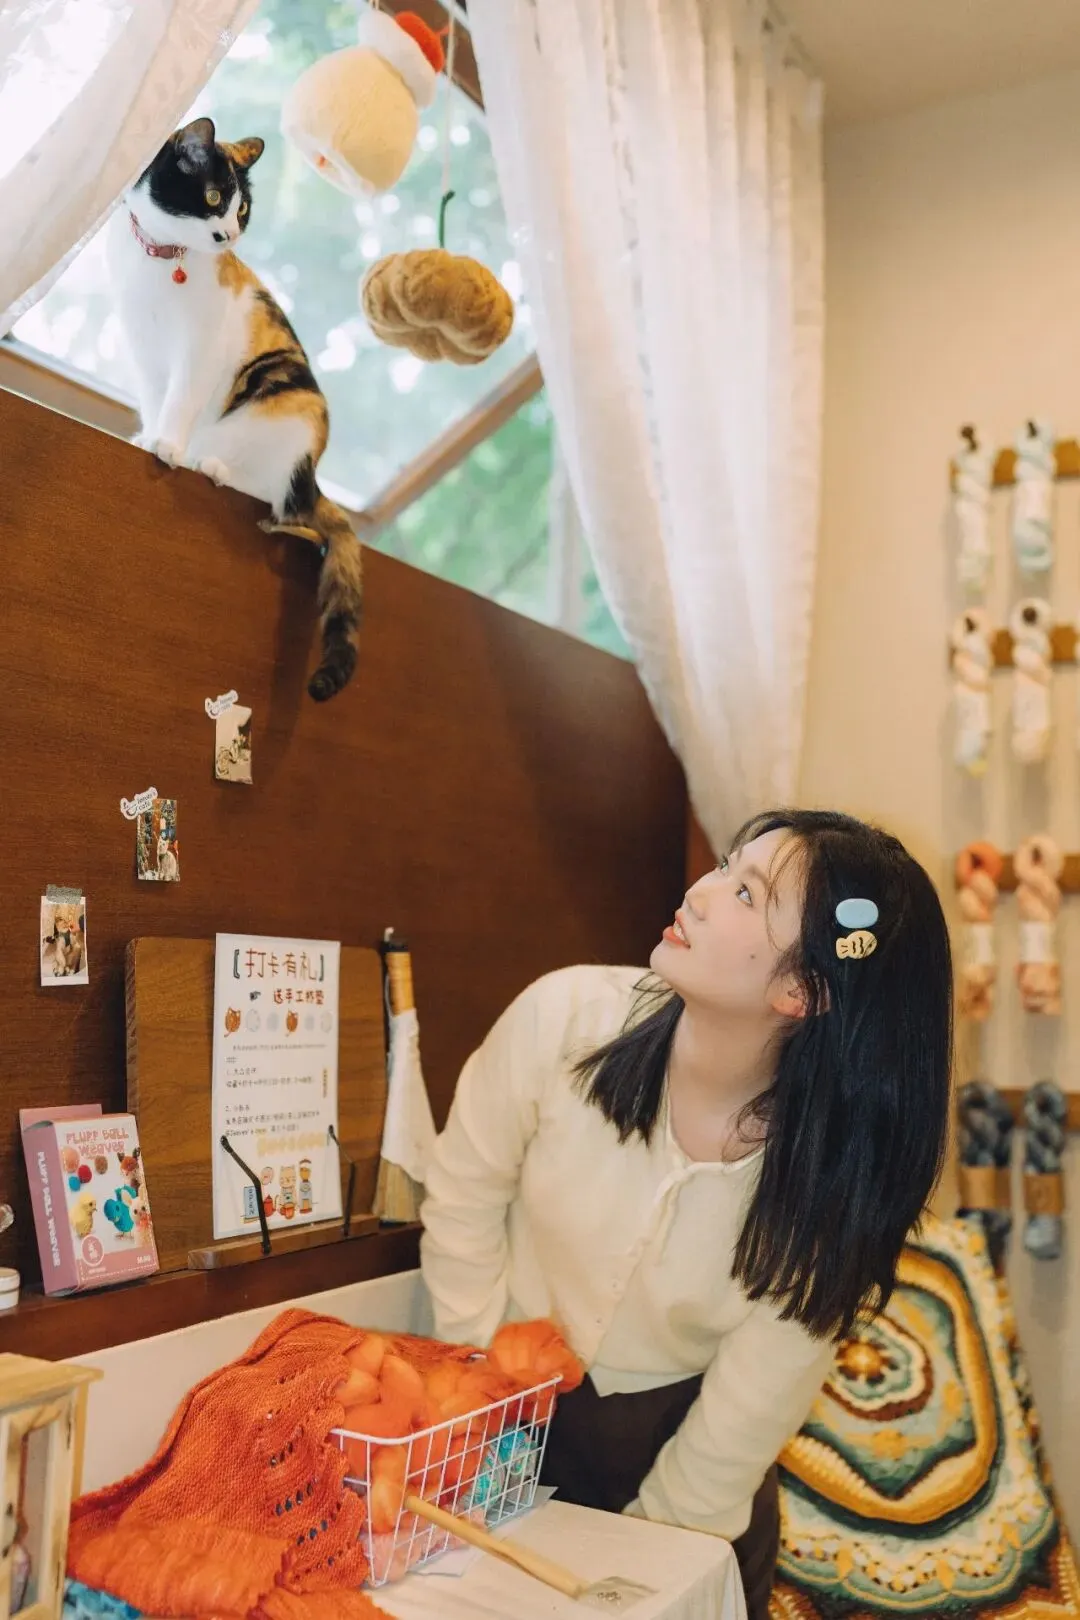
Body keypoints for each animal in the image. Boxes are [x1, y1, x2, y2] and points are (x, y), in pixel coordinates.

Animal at [107, 117, 362, 701]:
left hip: (285, 396)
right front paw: (148, 437)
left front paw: (167, 447)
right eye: (213, 198)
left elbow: (181, 399)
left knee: (280, 504)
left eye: (242, 210)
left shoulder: (199, 348)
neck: (162, 261)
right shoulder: (142, 348)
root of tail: (313, 478)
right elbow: (155, 400)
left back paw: (211, 464)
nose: (231, 236)